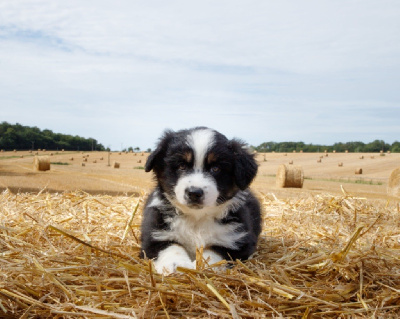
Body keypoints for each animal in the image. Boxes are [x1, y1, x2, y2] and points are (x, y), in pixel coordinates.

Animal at [141, 127, 262, 276]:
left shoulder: (238, 241)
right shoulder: (155, 234)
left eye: (216, 168)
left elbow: (214, 252)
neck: (197, 219)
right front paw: (176, 265)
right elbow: (171, 247)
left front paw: (203, 266)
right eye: (181, 166)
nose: (194, 193)